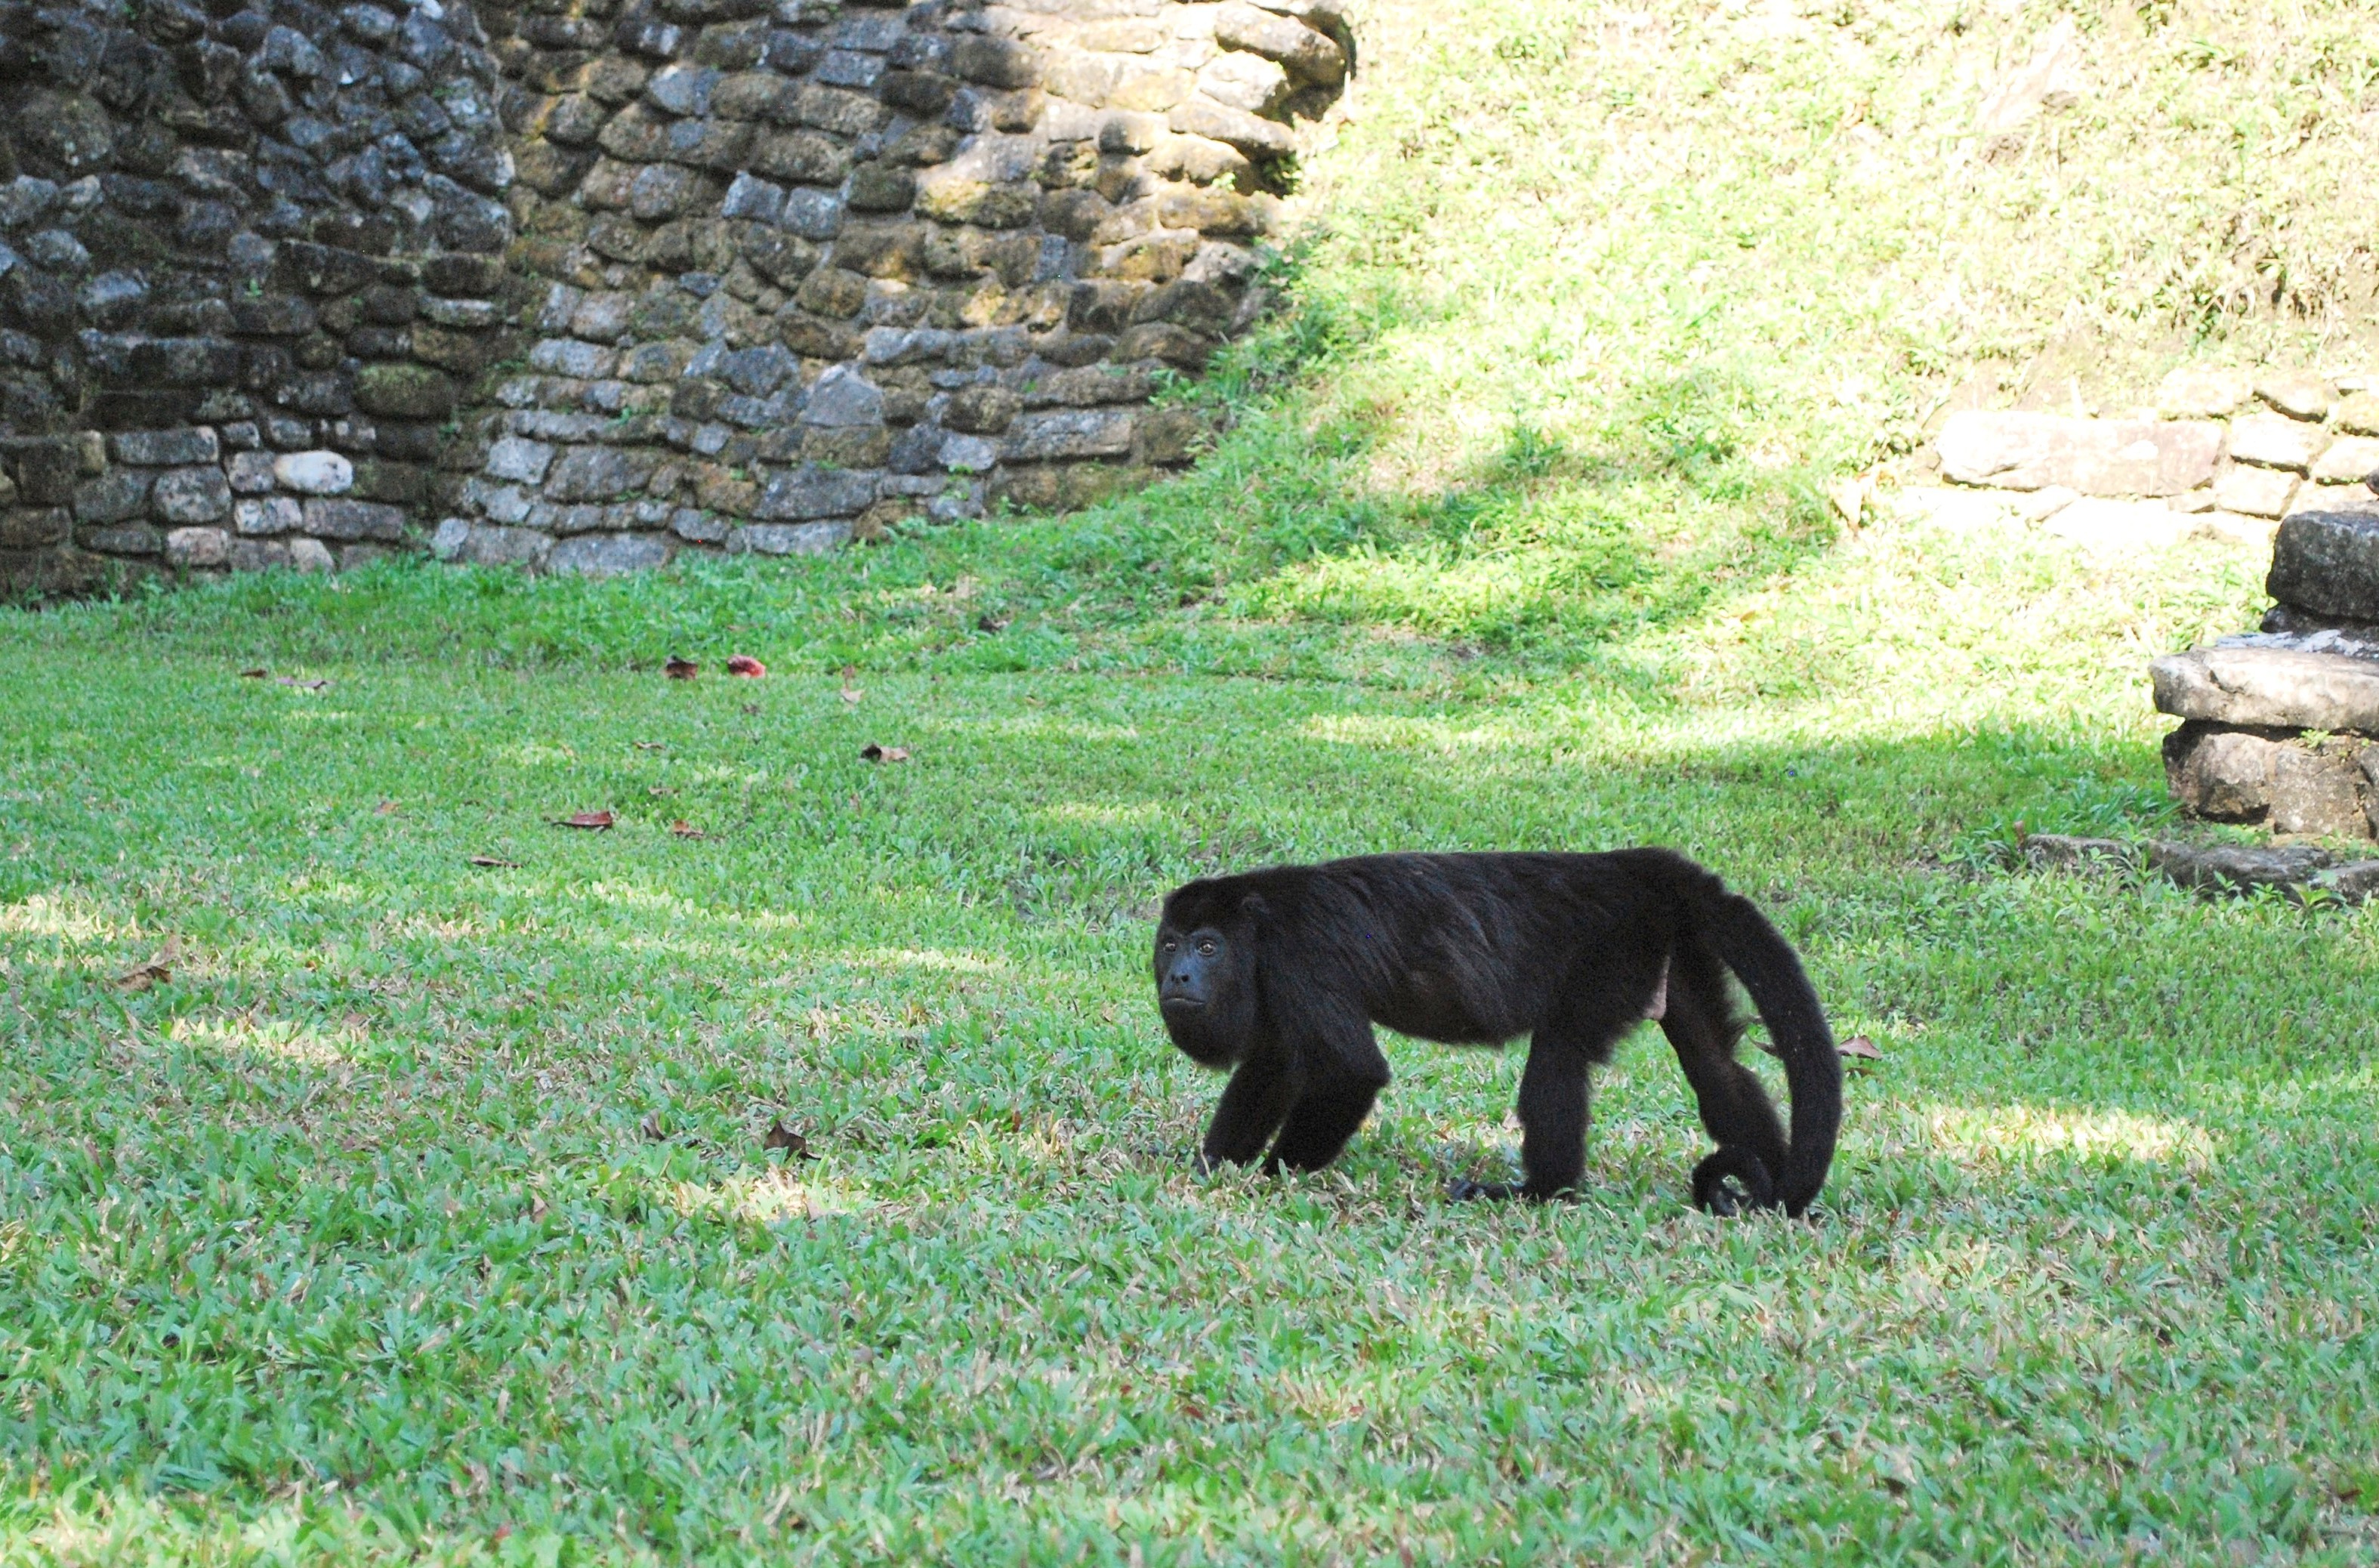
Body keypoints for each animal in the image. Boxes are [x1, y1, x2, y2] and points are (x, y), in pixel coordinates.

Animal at [1151, 849, 1841, 1216]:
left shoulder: (1301, 956)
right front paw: (1211, 1166)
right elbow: (1270, 1069)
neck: (1259, 929)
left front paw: (1271, 1177)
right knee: (1714, 1065)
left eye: (1208, 947)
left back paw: (1538, 1190)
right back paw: (1782, 1194)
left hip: (1615, 951)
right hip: (1673, 951)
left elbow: (1351, 1071)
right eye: (1170, 943)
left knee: (1560, 1051)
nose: (1179, 974)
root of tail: (1641, 867)